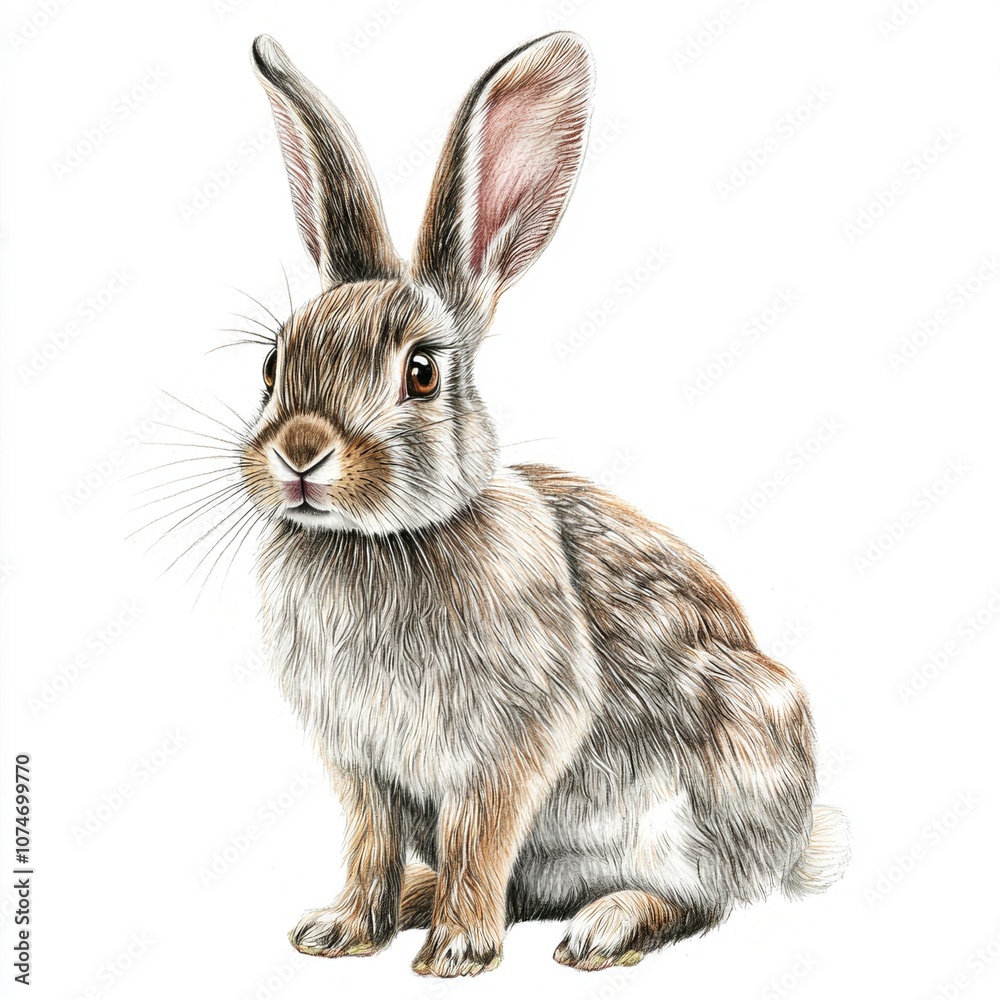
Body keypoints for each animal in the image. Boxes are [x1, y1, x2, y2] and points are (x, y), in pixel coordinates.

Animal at [238, 32, 849, 978]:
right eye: (273, 364)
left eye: (421, 372)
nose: (300, 453)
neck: (383, 540)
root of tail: (796, 847)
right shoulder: (362, 765)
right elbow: (370, 845)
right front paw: (340, 931)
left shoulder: (511, 747)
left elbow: (481, 837)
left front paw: (457, 952)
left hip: (715, 786)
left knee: (701, 901)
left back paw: (603, 927)